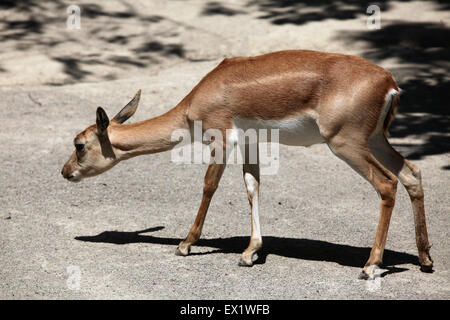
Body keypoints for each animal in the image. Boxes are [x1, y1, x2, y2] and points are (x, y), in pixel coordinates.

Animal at [61, 49, 434, 278]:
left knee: (387, 183)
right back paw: (426, 259)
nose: (65, 172)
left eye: (79, 145)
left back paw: (370, 266)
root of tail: (389, 83)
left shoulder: (222, 138)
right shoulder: (251, 143)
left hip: (346, 144)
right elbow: (253, 186)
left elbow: (209, 186)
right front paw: (250, 252)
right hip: (375, 140)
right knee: (412, 173)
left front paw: (185, 244)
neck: (196, 100)